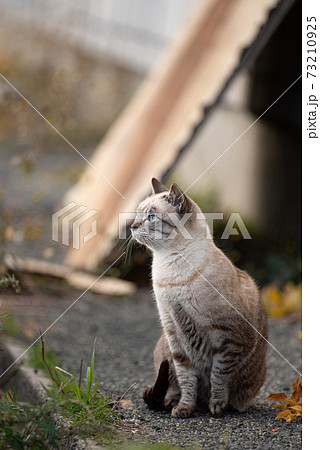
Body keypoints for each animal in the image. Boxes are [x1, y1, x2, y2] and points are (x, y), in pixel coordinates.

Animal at [130, 178, 268, 418]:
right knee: (171, 386)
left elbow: (219, 376)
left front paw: (217, 407)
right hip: (165, 351)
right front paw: (184, 408)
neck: (168, 270)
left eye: (151, 217)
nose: (132, 226)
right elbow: (186, 380)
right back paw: (173, 402)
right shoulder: (174, 335)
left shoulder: (227, 337)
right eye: (138, 214)